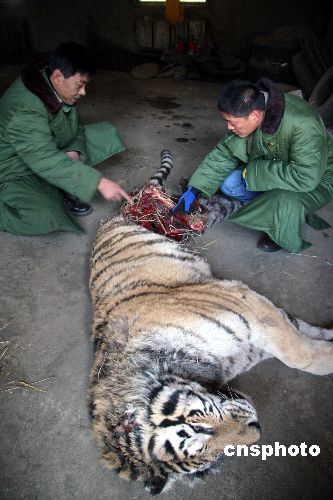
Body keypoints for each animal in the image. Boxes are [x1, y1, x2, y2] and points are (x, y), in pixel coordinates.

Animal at [88, 217, 332, 494]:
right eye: (212, 455)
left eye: (199, 428)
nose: (257, 429)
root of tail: (109, 220)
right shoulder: (250, 341)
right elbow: (301, 338)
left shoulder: (242, 302)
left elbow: (300, 354)